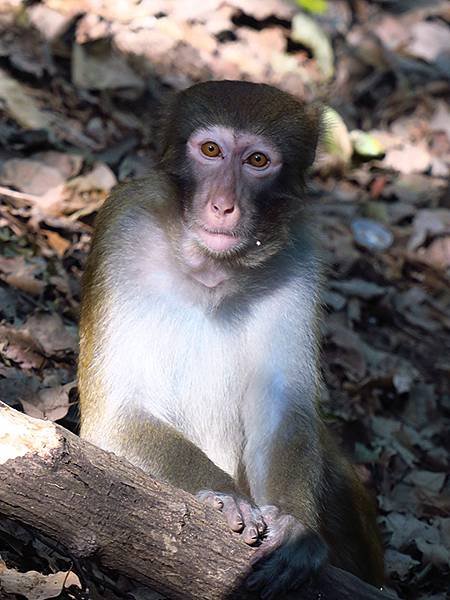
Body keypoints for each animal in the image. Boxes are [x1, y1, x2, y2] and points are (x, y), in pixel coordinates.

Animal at [77, 81, 384, 600]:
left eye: (257, 160)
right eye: (211, 151)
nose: (223, 205)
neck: (211, 270)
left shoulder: (299, 256)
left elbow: (282, 407)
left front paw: (297, 532)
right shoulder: (123, 229)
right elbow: (116, 415)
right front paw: (226, 496)